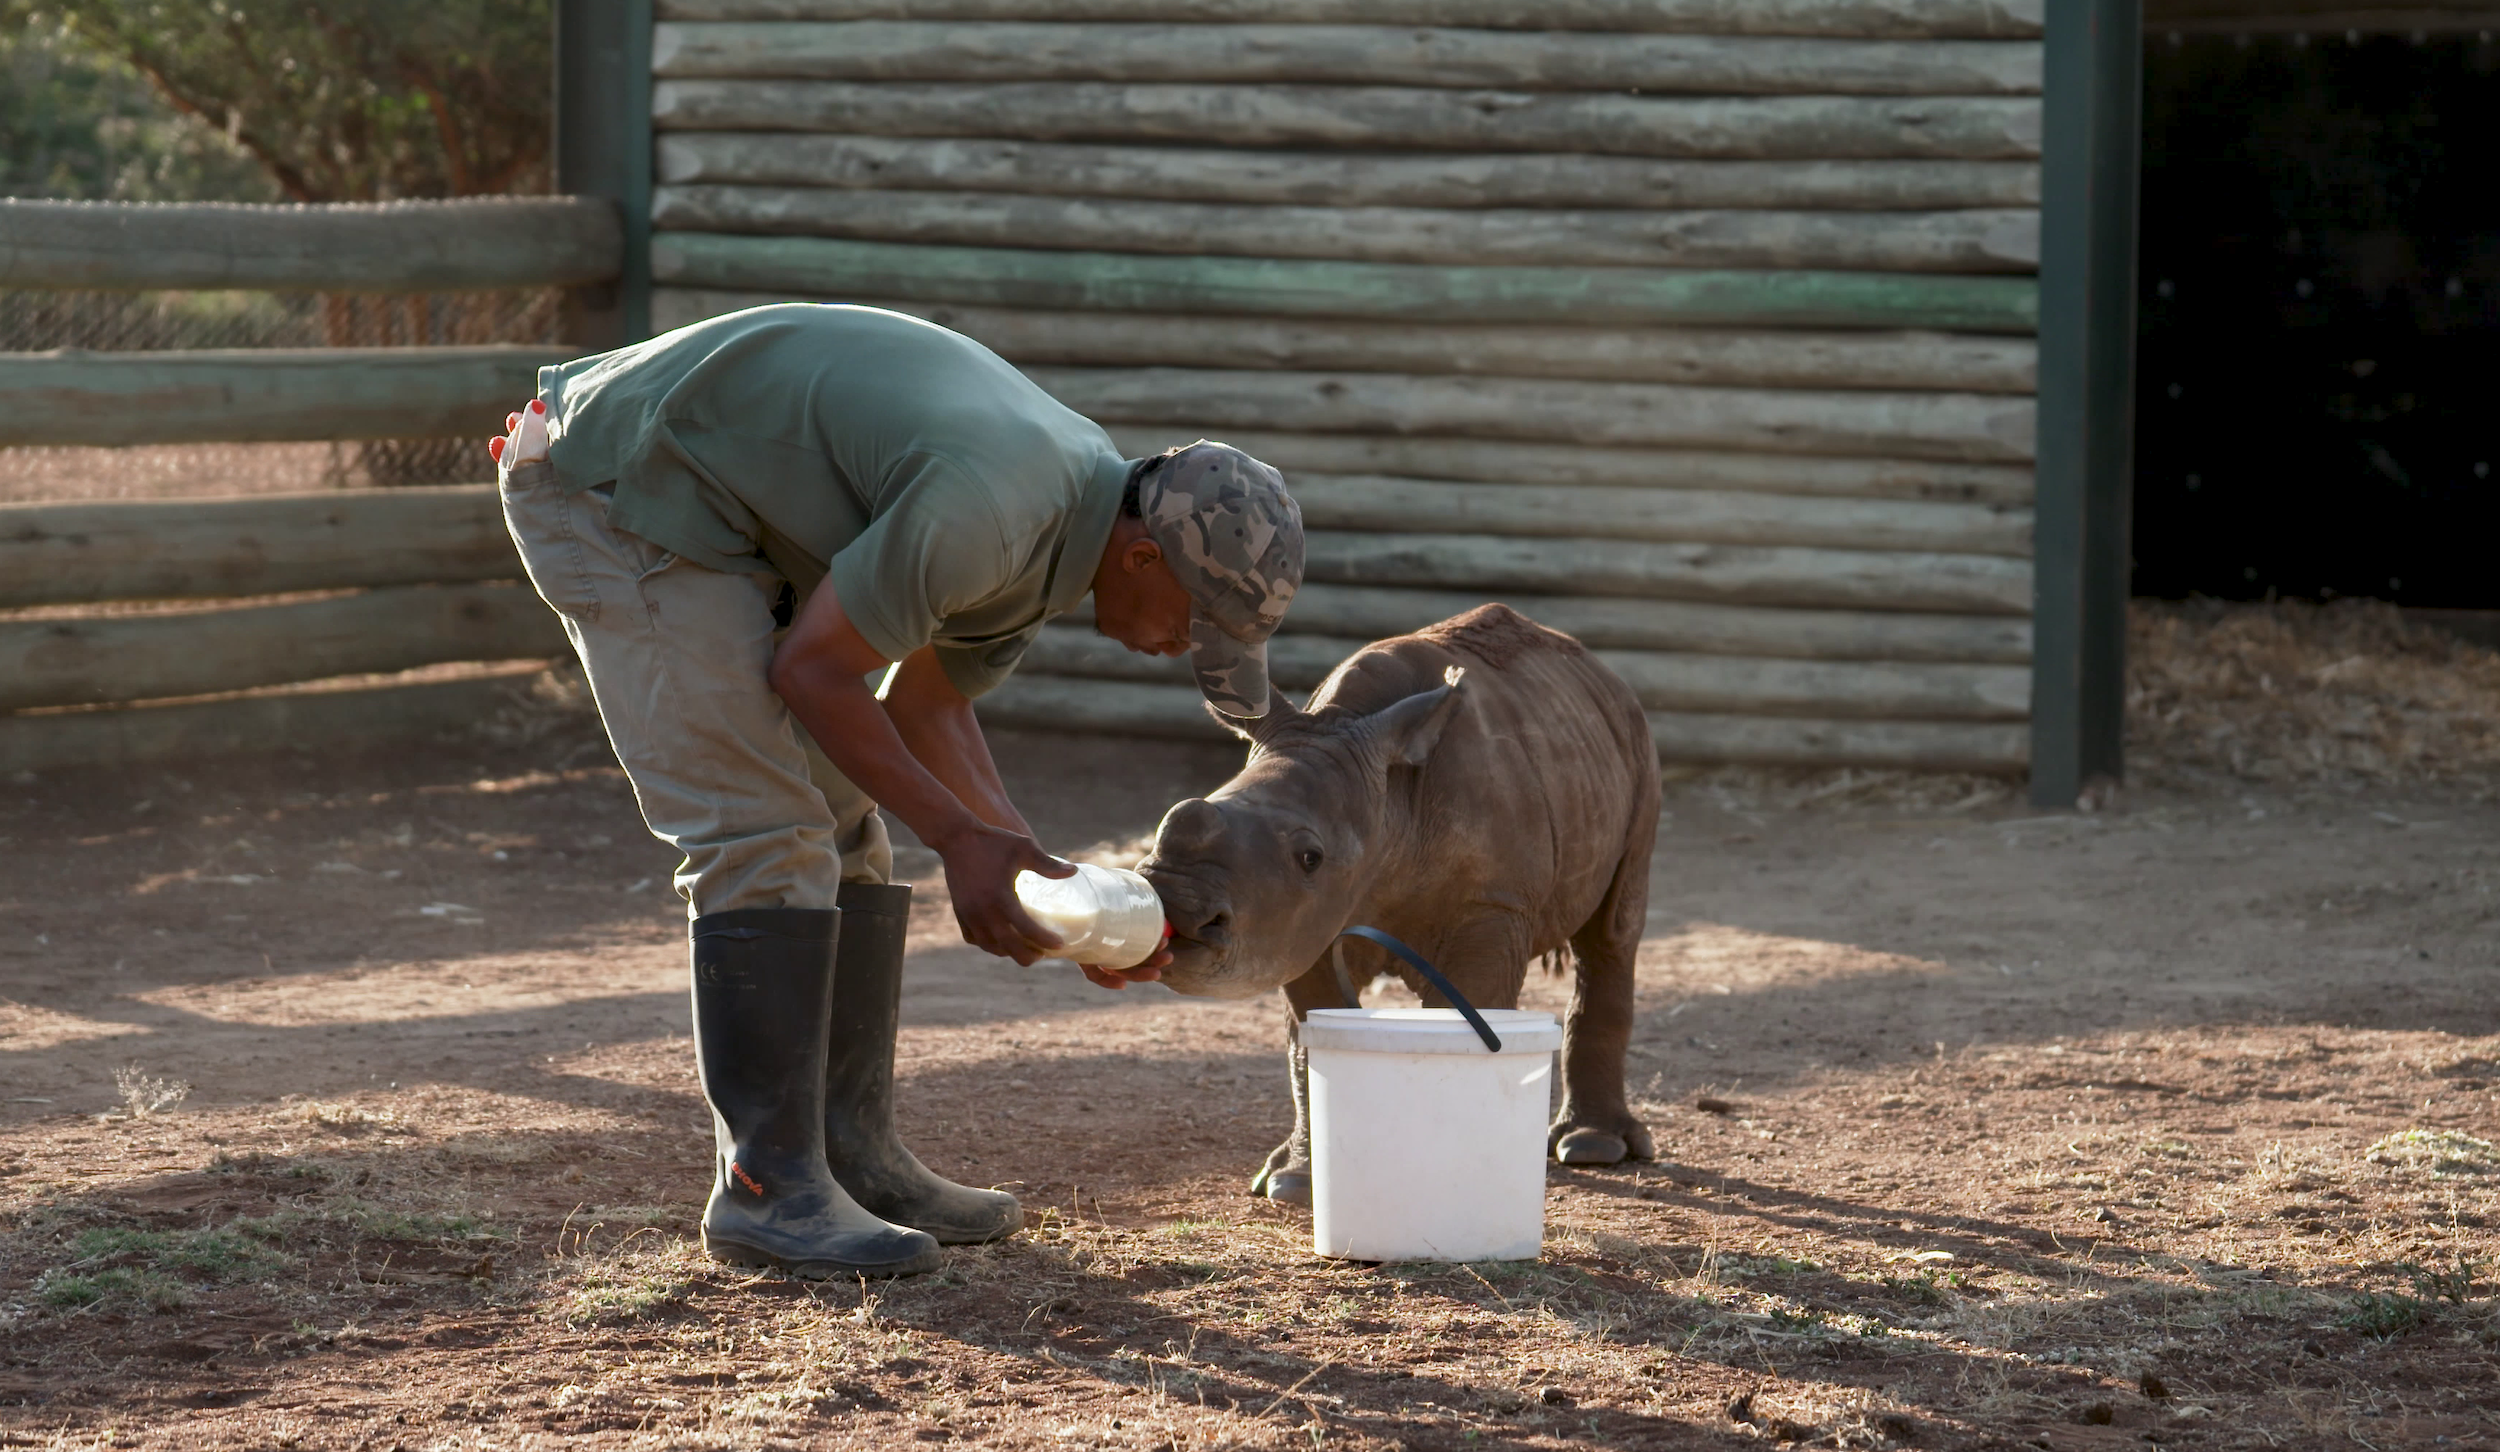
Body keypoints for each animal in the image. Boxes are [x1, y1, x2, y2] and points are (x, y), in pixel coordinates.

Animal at [1140, 604, 1659, 1203]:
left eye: (1310, 856)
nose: (1175, 903)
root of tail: (1599, 669)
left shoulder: (1490, 903)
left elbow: (1468, 1010)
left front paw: (1453, 1171)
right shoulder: (1302, 922)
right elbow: (1310, 1036)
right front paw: (1297, 1184)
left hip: (1636, 744)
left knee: (1612, 934)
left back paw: (1593, 1149)